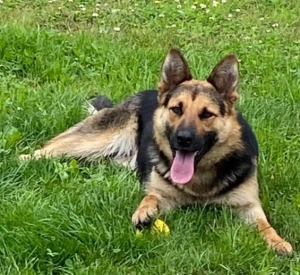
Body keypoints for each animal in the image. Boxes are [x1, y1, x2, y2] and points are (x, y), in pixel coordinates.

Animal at [19, 48, 292, 256]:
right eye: (177, 109)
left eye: (206, 114)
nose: (183, 139)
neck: (199, 180)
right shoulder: (163, 195)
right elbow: (151, 196)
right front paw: (144, 211)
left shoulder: (248, 206)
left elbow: (264, 225)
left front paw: (278, 242)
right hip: (94, 140)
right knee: (49, 148)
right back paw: (21, 159)